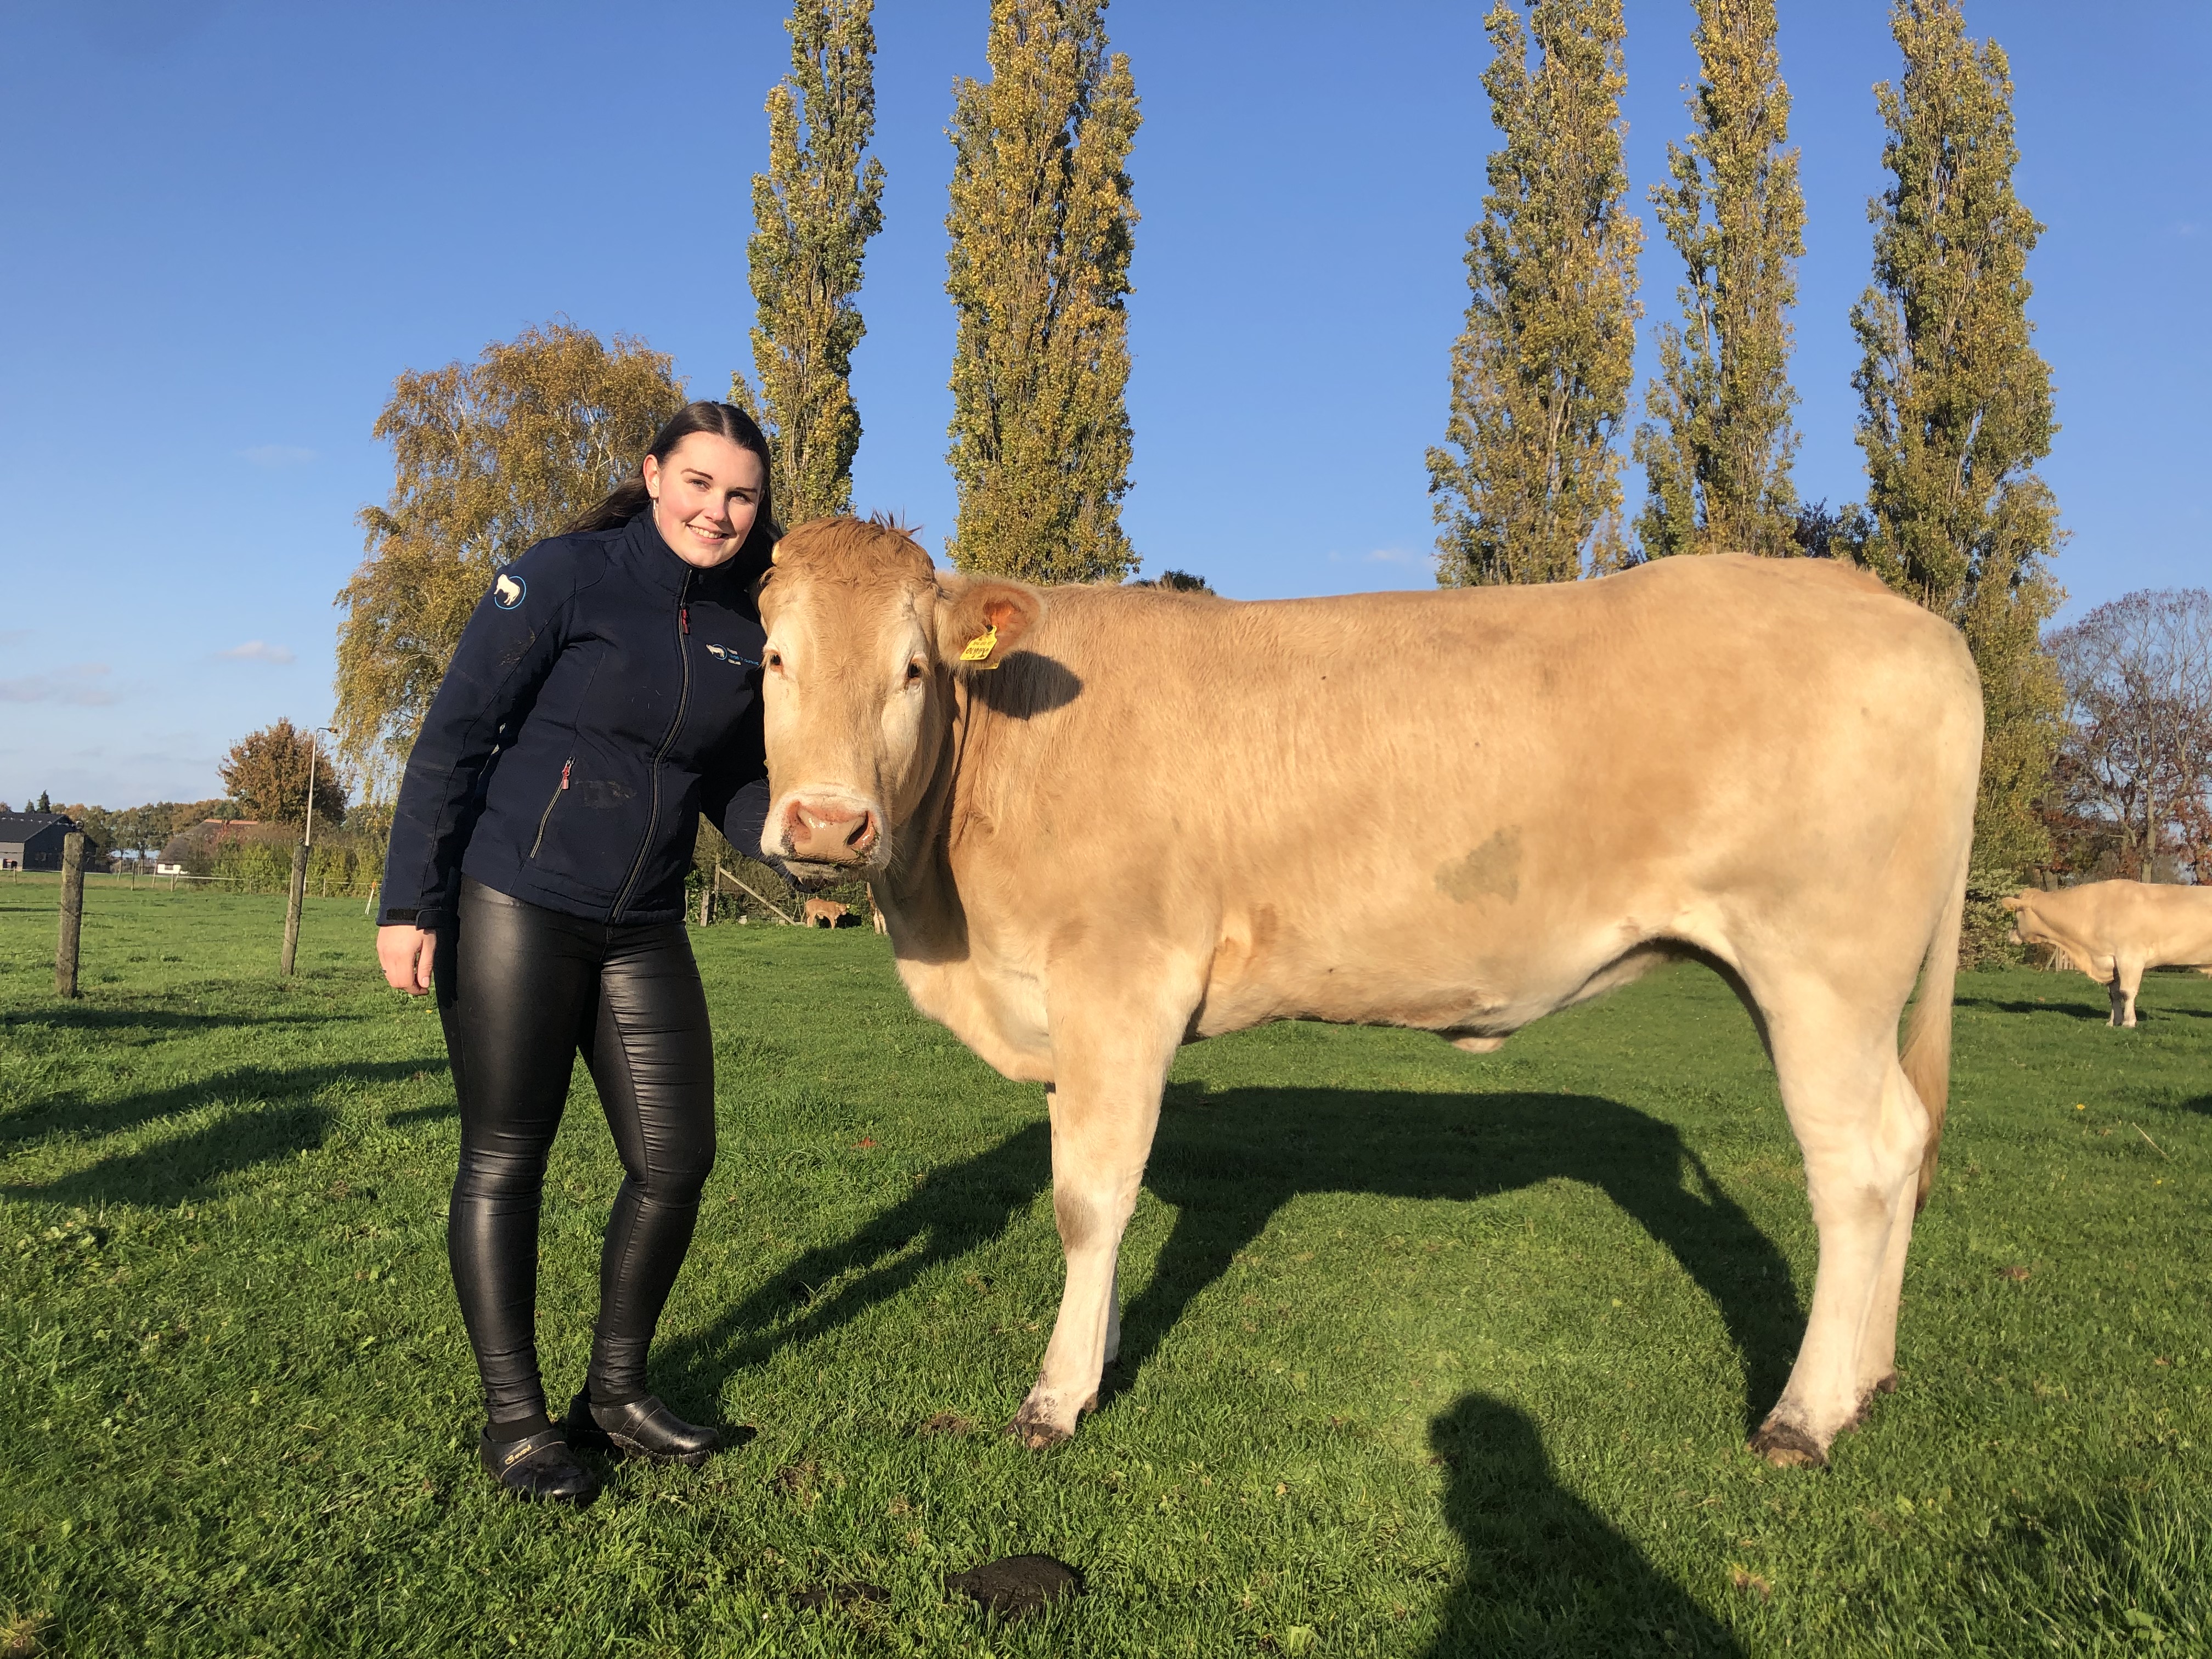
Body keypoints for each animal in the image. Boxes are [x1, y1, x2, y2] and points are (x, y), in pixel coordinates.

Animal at [754, 519, 1981, 1470]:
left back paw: (1805, 1414)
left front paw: (1055, 1399)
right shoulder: (1064, 1014)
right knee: (1907, 1137)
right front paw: (1097, 1353)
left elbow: (1089, 1201)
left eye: (913, 669)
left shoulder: (1118, 982)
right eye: (771, 657)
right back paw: (1868, 1376)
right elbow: (1087, 1183)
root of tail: (1881, 598)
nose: (827, 823)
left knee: (1860, 1170)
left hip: (1823, 973)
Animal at [2002, 880, 2212, 1027]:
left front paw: (2129, 1022)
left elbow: (2128, 992)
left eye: (2017, 915)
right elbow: (2114, 994)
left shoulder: (2131, 958)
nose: (2010, 935)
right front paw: (2113, 1022)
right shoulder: (2111, 961)